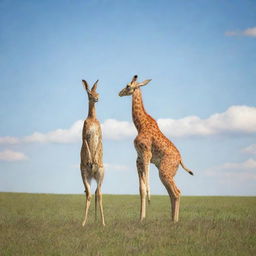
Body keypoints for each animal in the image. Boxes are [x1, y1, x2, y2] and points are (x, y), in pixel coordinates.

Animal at [118, 75, 194, 222]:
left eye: (128, 85)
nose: (119, 93)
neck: (140, 125)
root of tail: (180, 159)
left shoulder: (146, 154)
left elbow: (146, 186)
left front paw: (149, 201)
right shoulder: (138, 159)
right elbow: (141, 189)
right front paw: (141, 218)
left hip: (164, 171)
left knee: (176, 192)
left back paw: (175, 221)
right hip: (167, 172)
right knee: (173, 193)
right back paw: (172, 219)